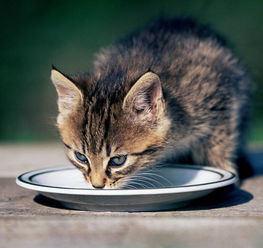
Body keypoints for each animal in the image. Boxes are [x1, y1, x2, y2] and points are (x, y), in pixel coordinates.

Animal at [51, 18, 252, 189]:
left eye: (118, 160)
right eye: (81, 157)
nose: (97, 186)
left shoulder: (221, 99)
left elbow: (219, 143)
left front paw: (225, 171)